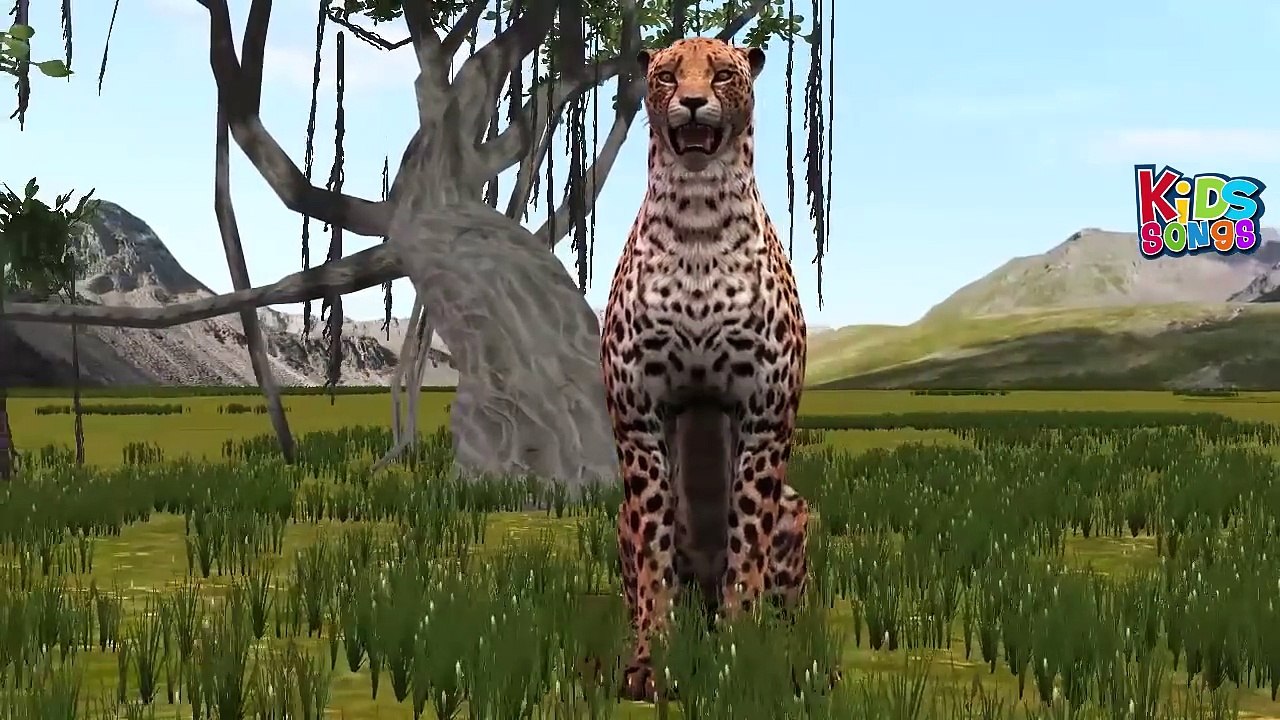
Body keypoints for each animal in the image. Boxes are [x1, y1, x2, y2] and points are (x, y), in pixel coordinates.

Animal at [598, 36, 810, 703]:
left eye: (721, 75)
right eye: (667, 76)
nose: (692, 102)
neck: (698, 216)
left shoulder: (763, 418)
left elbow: (747, 550)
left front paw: (739, 659)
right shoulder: (639, 419)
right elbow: (655, 559)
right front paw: (648, 663)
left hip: (797, 509)